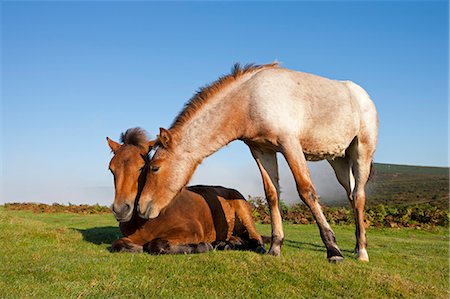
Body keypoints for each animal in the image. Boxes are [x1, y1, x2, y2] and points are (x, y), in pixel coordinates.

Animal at [107, 127, 266, 255]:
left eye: (142, 167)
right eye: (111, 169)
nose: (121, 210)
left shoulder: (191, 231)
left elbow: (156, 244)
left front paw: (203, 246)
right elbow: (117, 244)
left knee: (255, 239)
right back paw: (225, 244)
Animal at [139, 63, 378, 262]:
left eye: (155, 167)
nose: (141, 207)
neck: (249, 99)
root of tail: (364, 96)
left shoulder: (290, 145)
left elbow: (306, 191)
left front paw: (333, 250)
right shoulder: (262, 150)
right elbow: (272, 195)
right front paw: (275, 247)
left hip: (362, 151)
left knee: (359, 196)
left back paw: (362, 252)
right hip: (338, 161)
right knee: (351, 196)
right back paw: (357, 246)